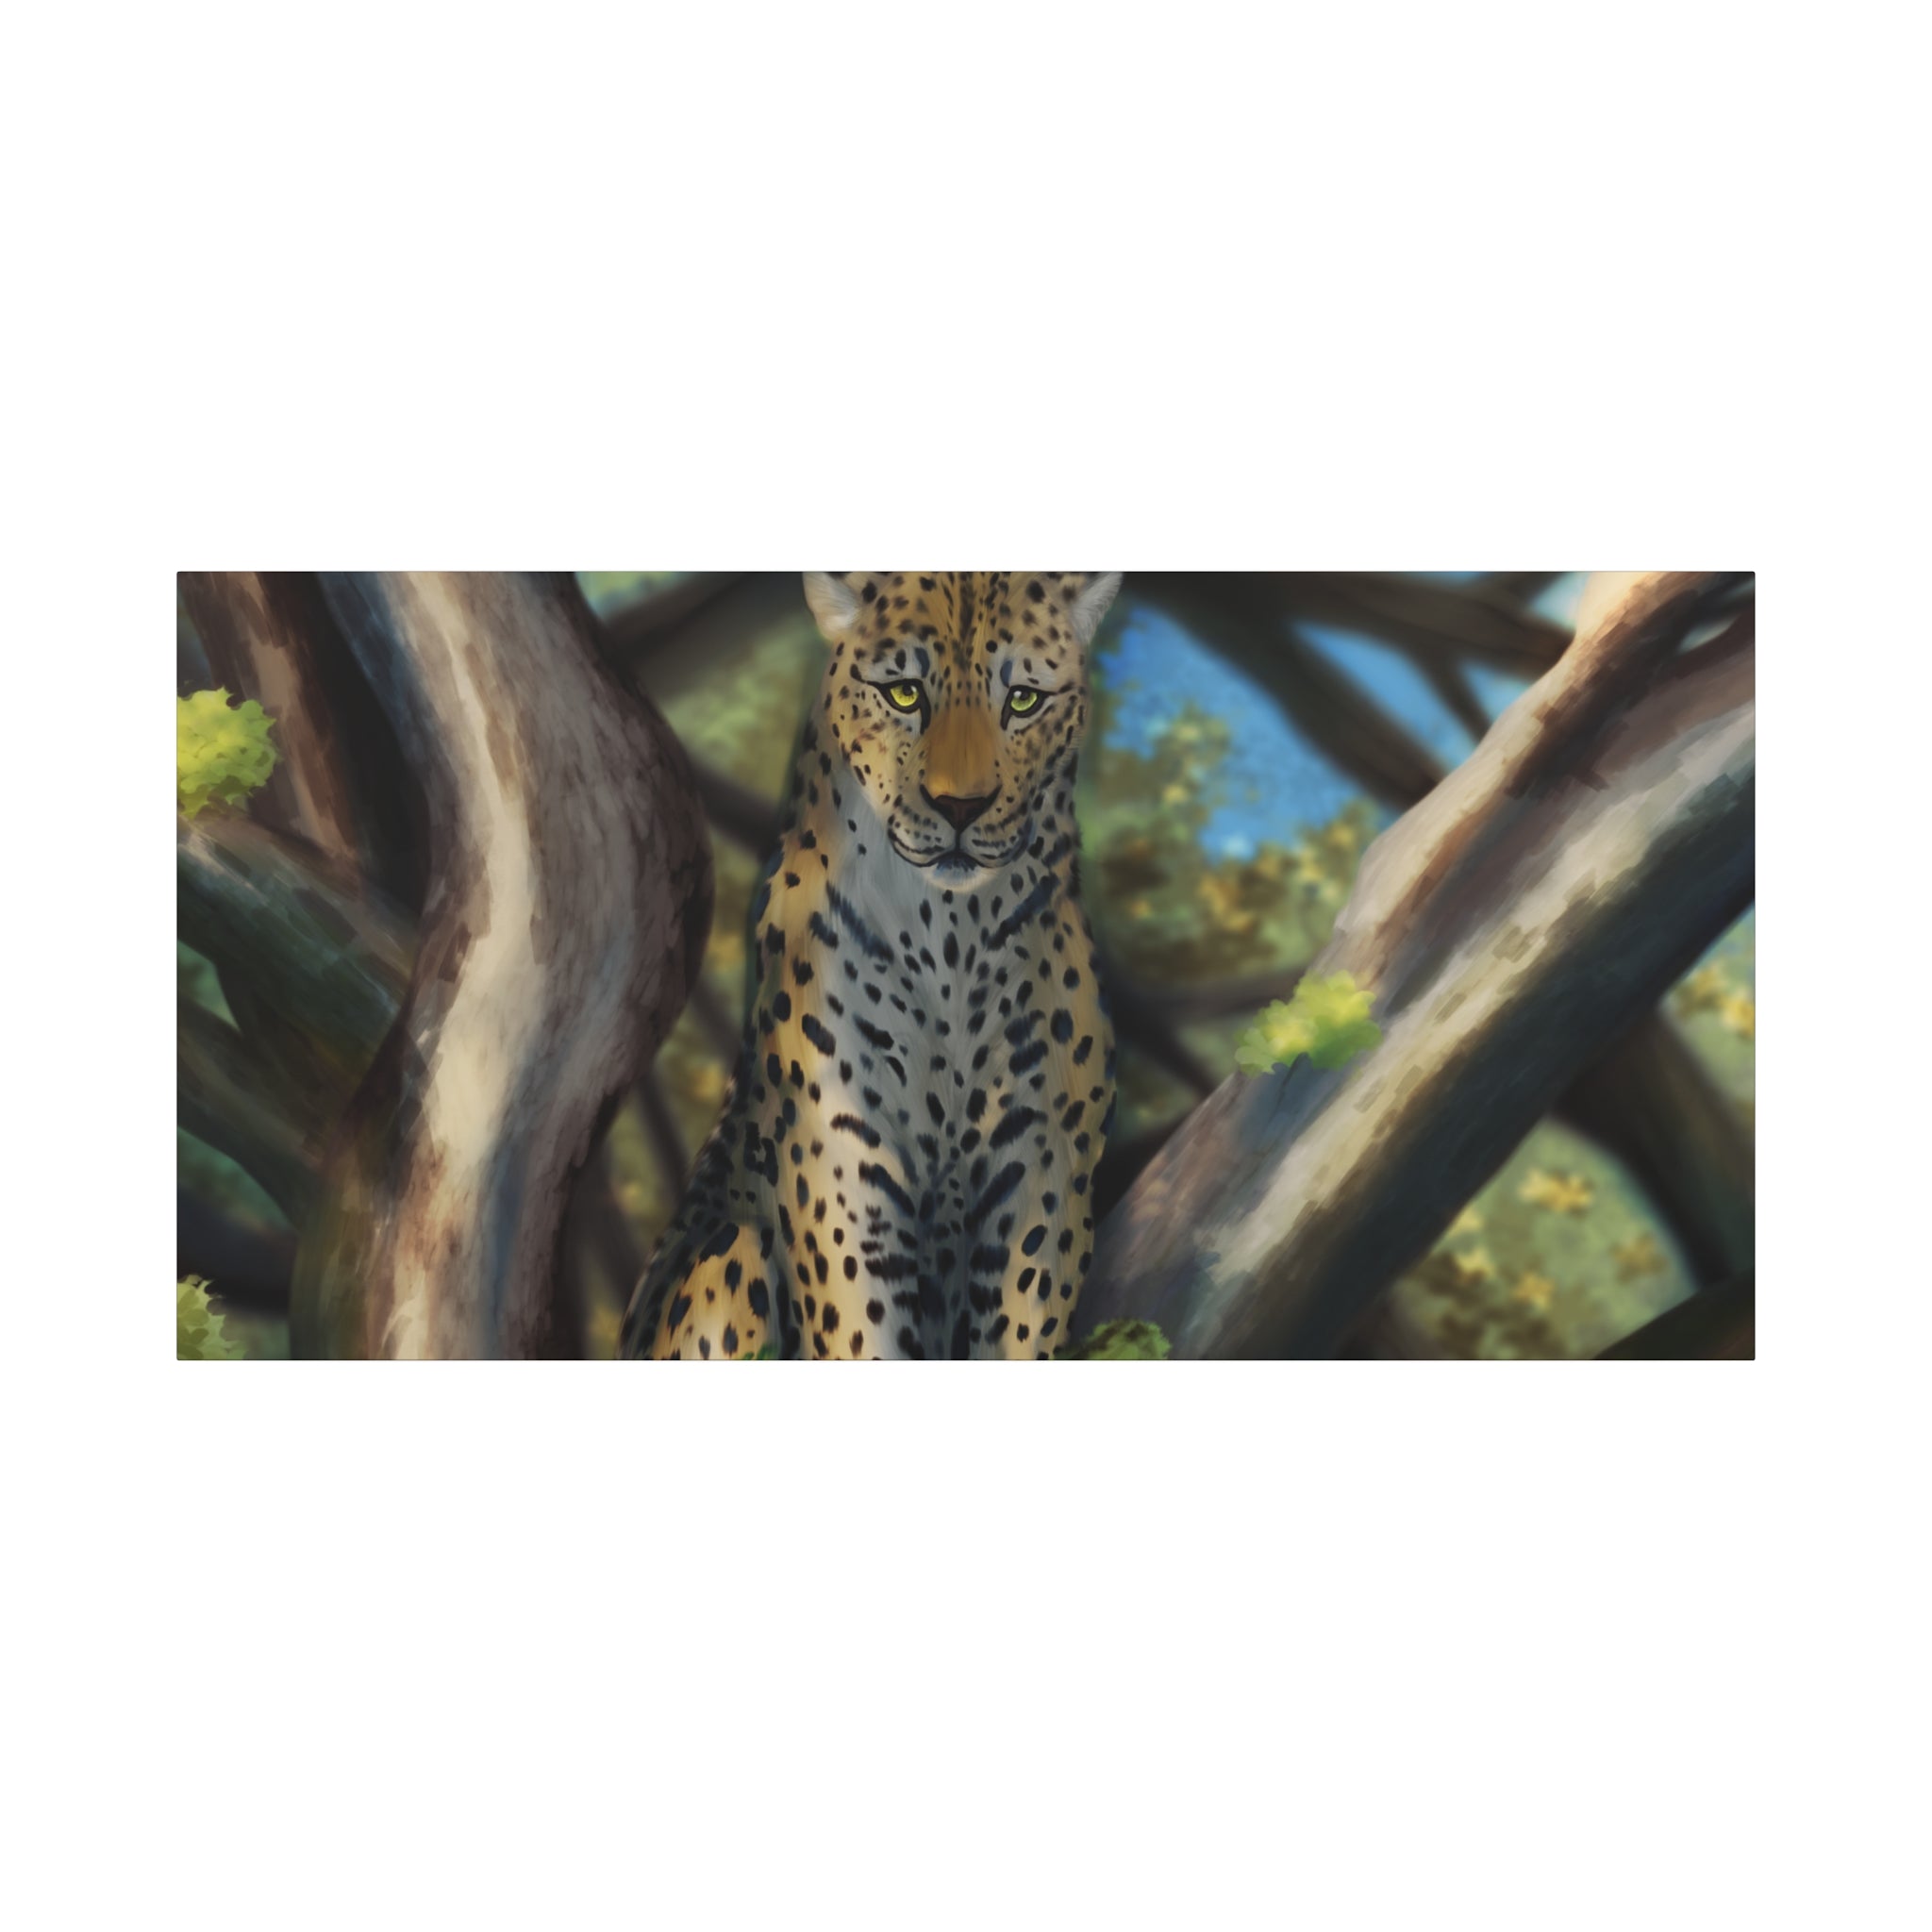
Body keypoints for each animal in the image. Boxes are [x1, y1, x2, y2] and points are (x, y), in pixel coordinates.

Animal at [620, 570, 1121, 1361]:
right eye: (905, 693)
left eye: (1023, 700)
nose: (960, 808)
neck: (952, 934)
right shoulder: (841, 1164)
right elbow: (861, 1330)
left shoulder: (1044, 1166)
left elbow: (1020, 1327)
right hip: (725, 1260)